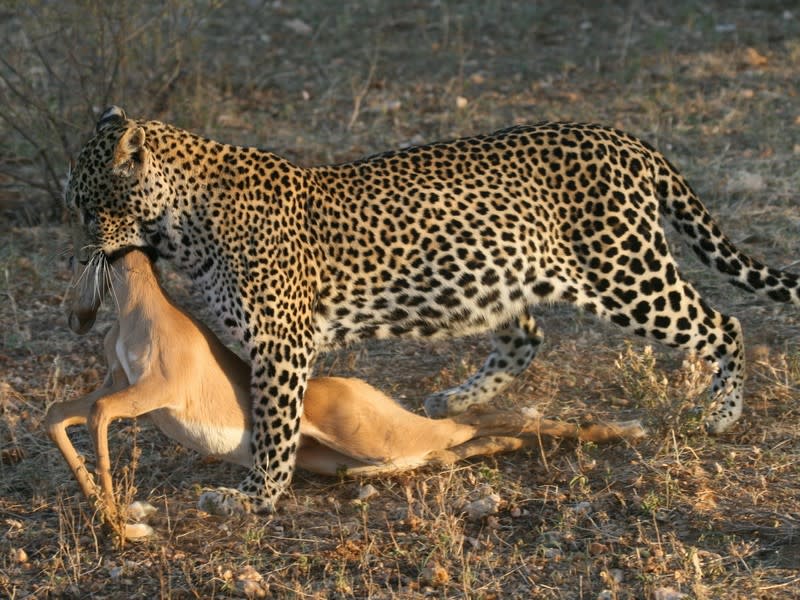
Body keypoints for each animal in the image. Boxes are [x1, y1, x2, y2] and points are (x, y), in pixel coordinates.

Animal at [65, 105, 799, 514]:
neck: (180, 225)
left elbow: (275, 424)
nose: (78, 248)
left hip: (625, 274)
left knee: (725, 324)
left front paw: (257, 498)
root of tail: (625, 138)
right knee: (527, 335)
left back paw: (722, 413)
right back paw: (455, 399)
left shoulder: (282, 343)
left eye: (84, 201)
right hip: (501, 274)